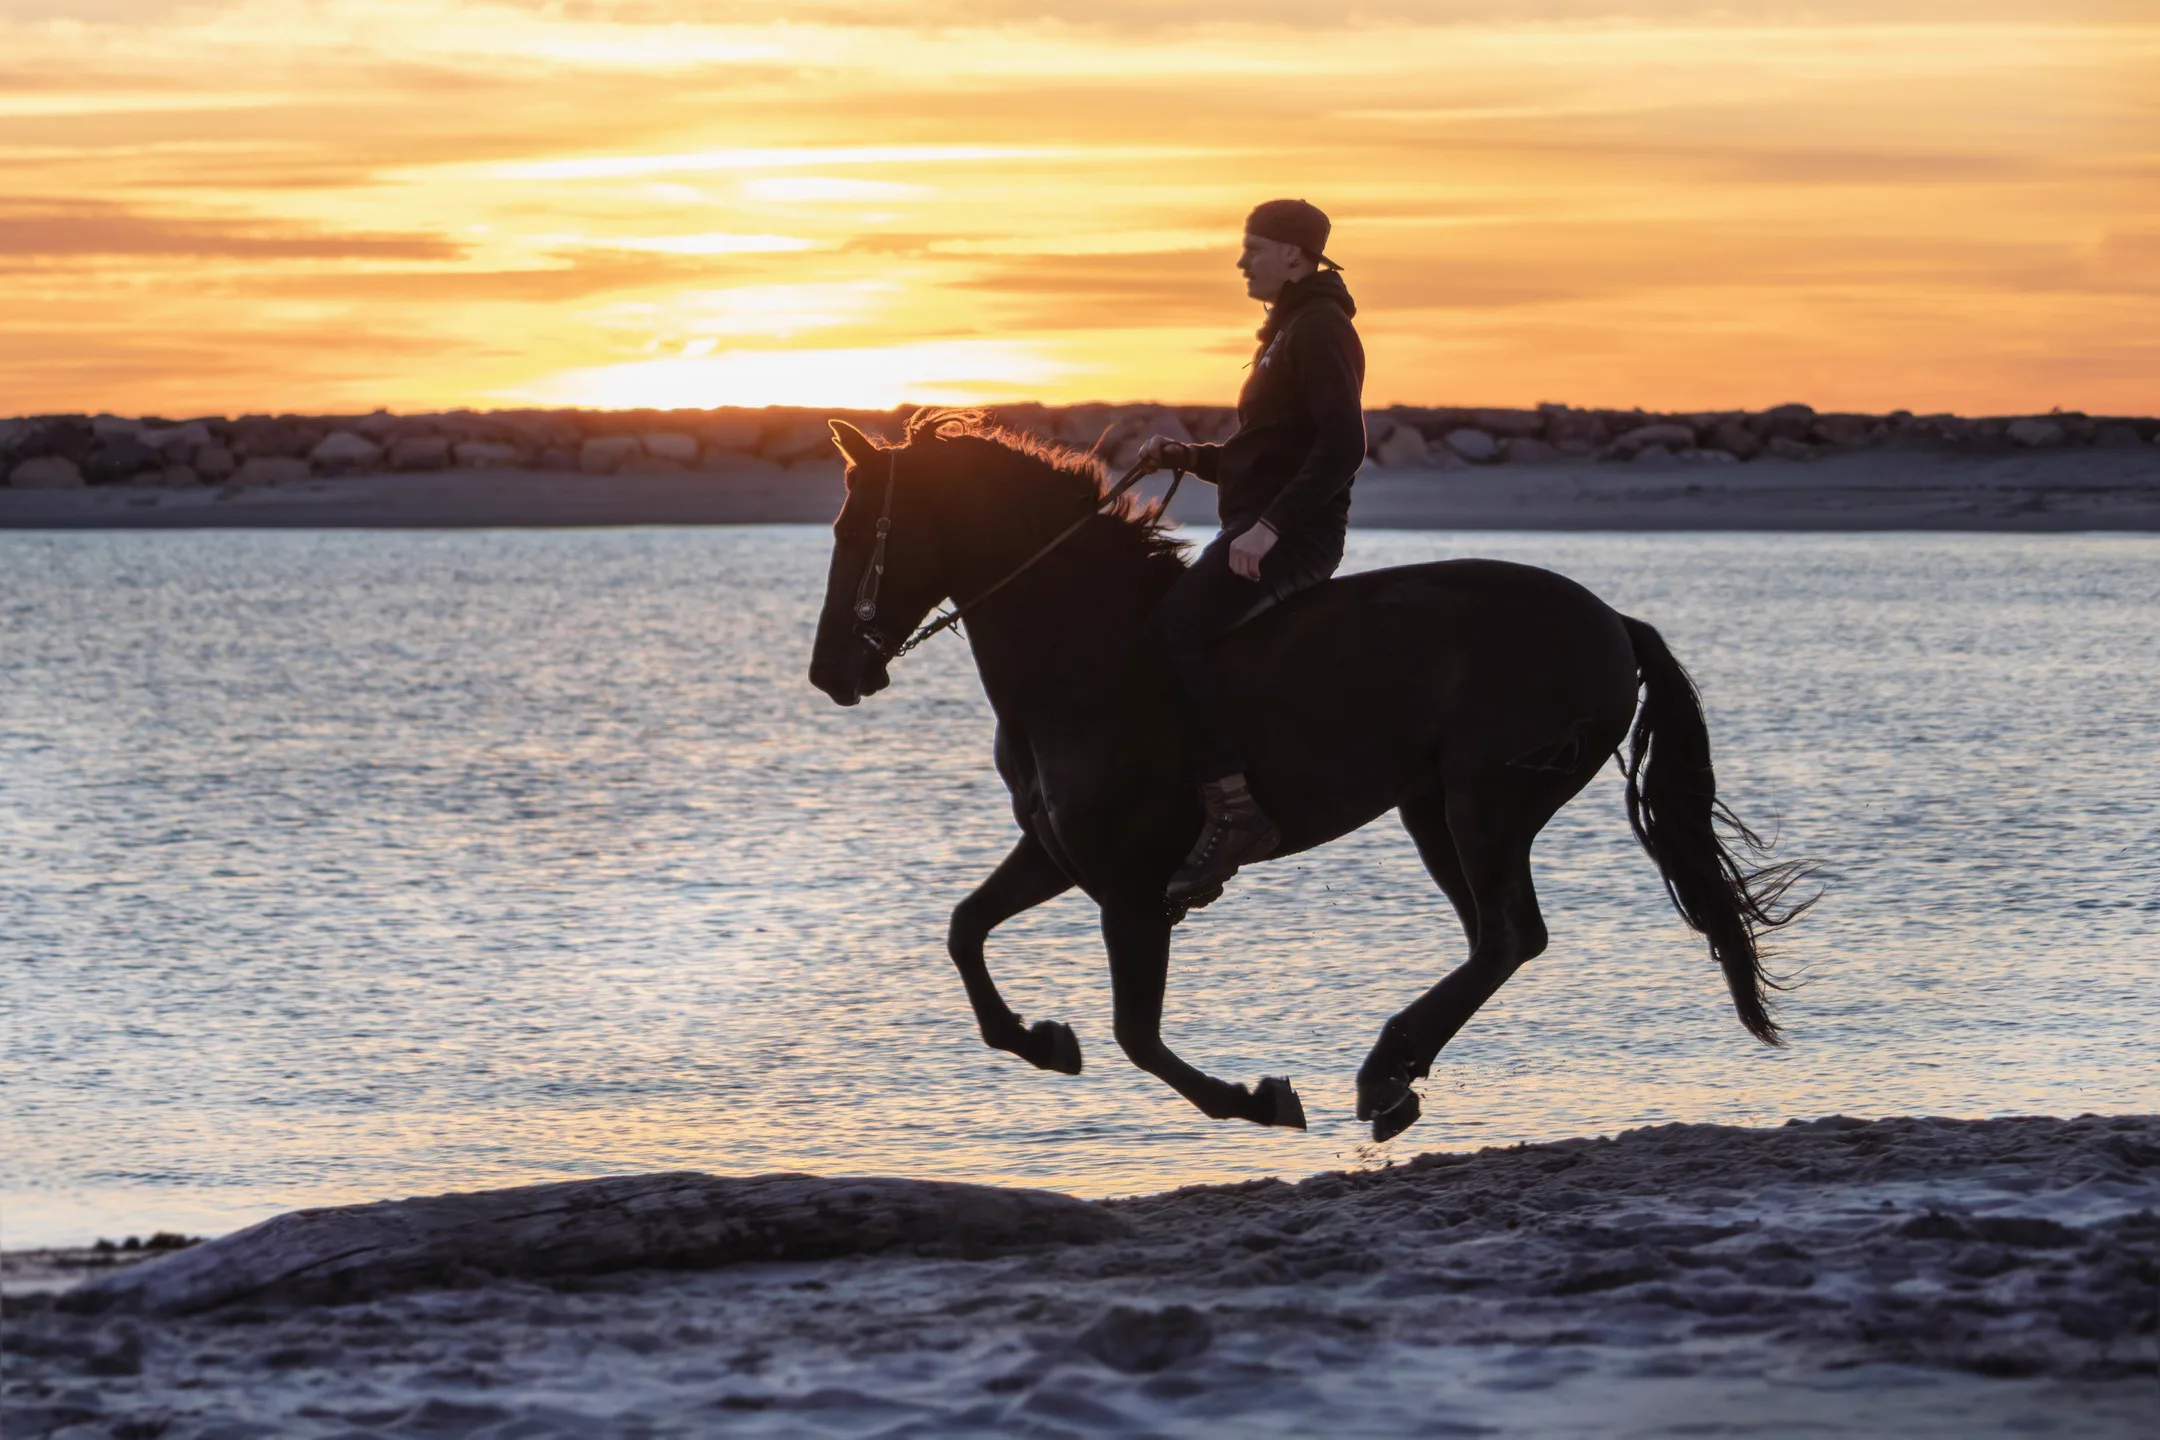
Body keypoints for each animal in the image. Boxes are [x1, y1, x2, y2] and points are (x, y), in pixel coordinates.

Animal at [808, 409, 1811, 1141]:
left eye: (856, 527)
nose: (830, 675)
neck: (1090, 654)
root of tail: (1612, 623)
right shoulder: (1059, 855)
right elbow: (964, 930)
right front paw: (1042, 1041)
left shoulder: (1131, 884)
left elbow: (1138, 1034)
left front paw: (1256, 1100)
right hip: (1434, 810)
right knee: (1498, 940)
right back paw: (1395, 1078)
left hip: (1484, 802)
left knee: (1506, 936)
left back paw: (1381, 1070)